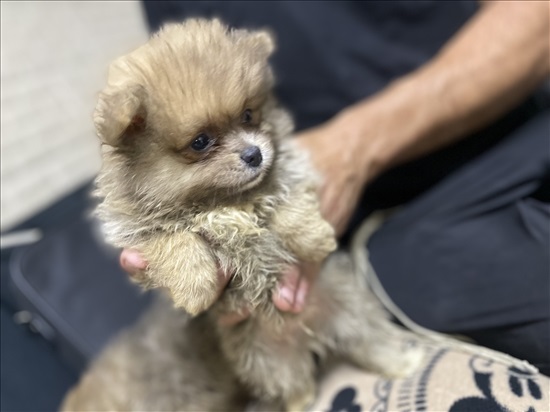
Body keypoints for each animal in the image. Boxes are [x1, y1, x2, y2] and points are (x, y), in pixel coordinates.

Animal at [61, 20, 422, 412]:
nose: (255, 153)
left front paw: (313, 237)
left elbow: (288, 202)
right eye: (201, 142)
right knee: (297, 386)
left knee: (373, 342)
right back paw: (304, 400)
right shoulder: (136, 232)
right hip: (269, 361)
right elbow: (174, 241)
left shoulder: (289, 173)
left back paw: (405, 363)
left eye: (248, 115)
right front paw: (196, 287)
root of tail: (308, 334)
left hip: (351, 310)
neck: (221, 199)